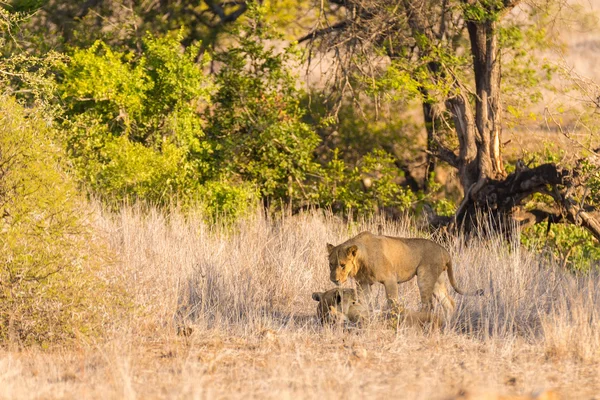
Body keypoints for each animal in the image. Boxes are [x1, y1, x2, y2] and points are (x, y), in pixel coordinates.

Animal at [326, 231, 480, 316]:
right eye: (331, 264)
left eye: (342, 265)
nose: (334, 279)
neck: (361, 259)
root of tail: (445, 251)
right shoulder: (363, 283)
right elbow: (364, 302)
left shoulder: (390, 280)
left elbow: (392, 303)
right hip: (438, 281)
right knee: (449, 304)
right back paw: (448, 326)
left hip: (424, 277)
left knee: (428, 304)